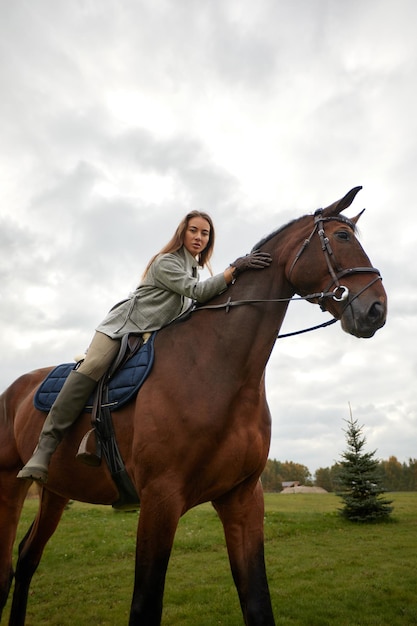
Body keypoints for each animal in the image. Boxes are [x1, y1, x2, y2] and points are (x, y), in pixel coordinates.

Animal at [0, 186, 386, 624]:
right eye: (342, 237)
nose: (377, 309)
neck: (215, 367)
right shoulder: (160, 500)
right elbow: (145, 603)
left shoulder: (242, 498)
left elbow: (257, 599)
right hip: (9, 485)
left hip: (55, 491)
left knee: (26, 558)